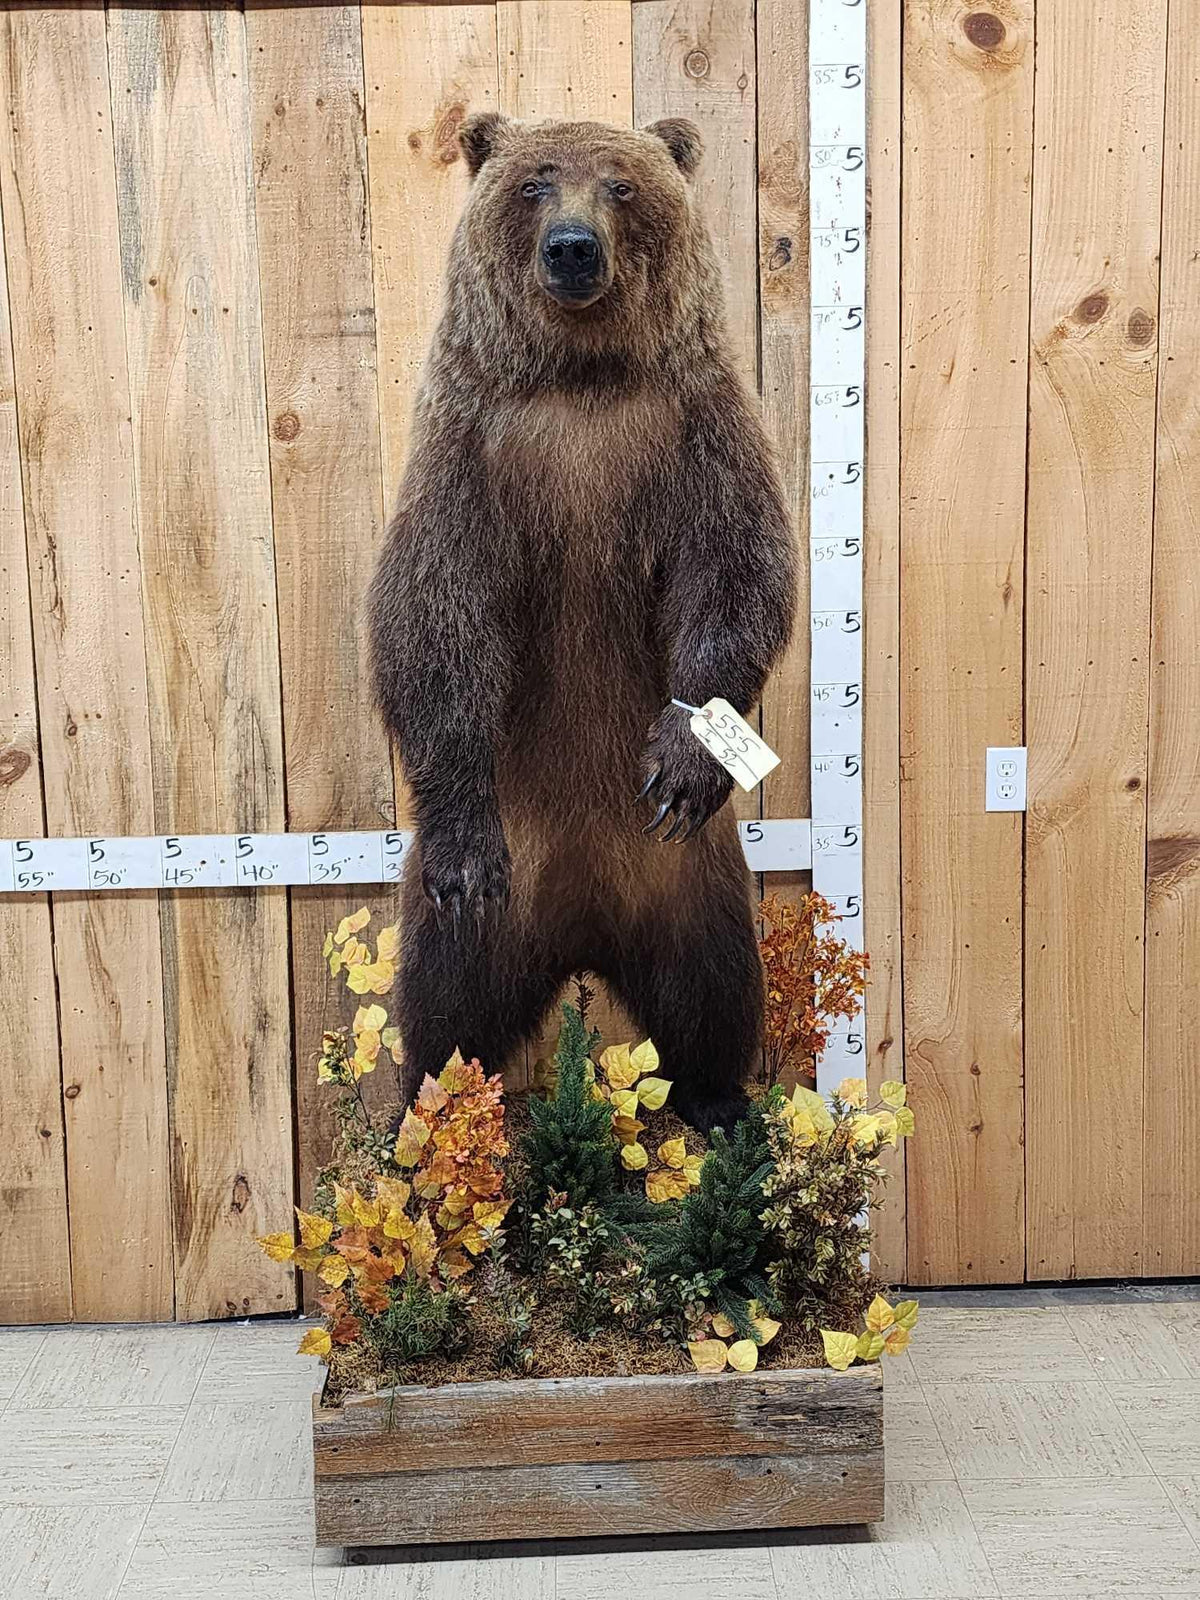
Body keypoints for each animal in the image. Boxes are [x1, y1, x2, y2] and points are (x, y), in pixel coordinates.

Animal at [369, 111, 797, 1134]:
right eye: (535, 182)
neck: (580, 380)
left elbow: (736, 572)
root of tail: (581, 929)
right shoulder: (472, 450)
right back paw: (418, 1124)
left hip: (693, 882)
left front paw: (686, 757)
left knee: (713, 986)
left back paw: (722, 1100)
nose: (572, 248)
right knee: (443, 999)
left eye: (622, 185)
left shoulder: (693, 429)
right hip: (499, 886)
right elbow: (434, 615)